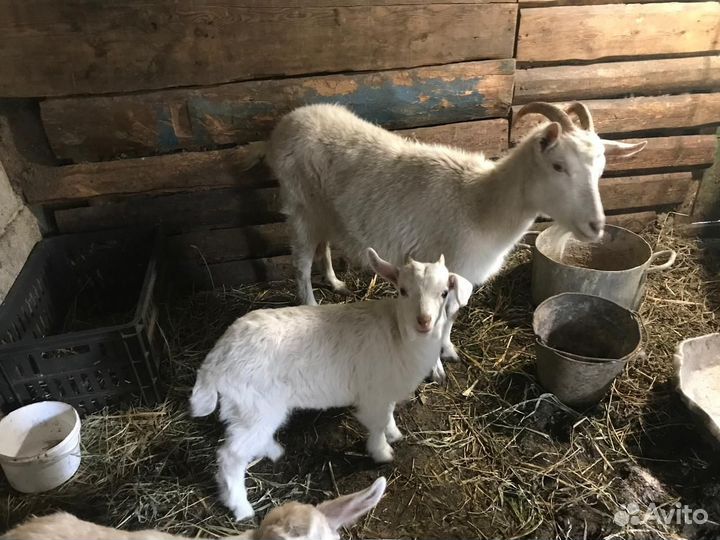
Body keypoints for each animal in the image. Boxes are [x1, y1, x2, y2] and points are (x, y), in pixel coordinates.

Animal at [190, 249, 472, 520]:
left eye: (444, 293)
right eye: (403, 290)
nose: (424, 321)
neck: (399, 334)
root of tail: (215, 361)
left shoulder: (385, 387)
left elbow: (388, 415)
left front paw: (394, 433)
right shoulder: (373, 394)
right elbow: (377, 424)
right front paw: (382, 452)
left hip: (252, 409)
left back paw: (273, 451)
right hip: (254, 406)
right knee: (231, 456)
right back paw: (240, 507)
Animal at [256, 101, 646, 374]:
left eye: (601, 169)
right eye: (558, 165)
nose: (596, 226)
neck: (481, 201)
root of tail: (289, 121)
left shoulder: (461, 276)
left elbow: (452, 317)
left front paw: (449, 350)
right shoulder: (442, 266)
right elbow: (439, 317)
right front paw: (436, 363)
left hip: (324, 209)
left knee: (322, 244)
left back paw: (335, 283)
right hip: (299, 203)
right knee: (301, 260)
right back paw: (310, 304)